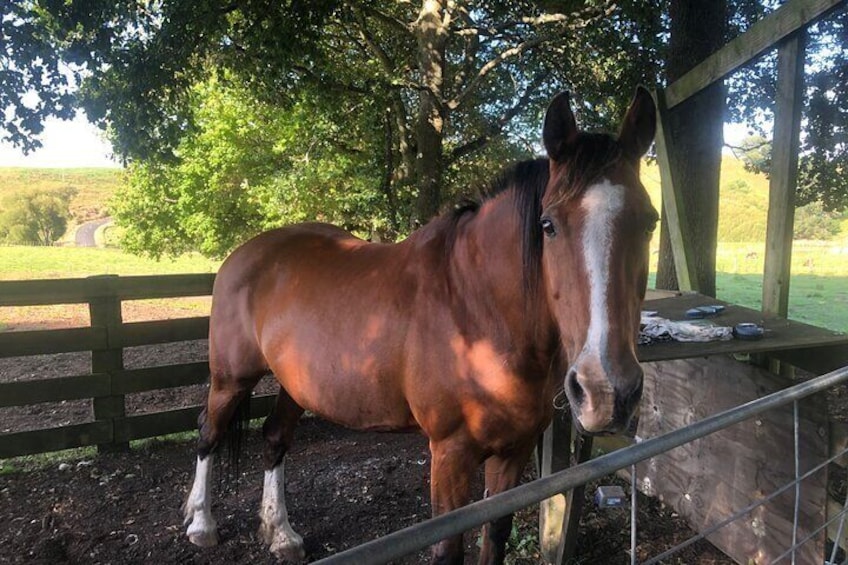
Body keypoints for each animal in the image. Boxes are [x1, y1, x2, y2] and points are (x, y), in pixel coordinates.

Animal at [184, 86, 656, 560]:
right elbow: (448, 549)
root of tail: (244, 254)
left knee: (275, 438)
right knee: (208, 433)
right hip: (231, 378)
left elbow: (496, 535)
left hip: (294, 384)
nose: (606, 392)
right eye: (548, 225)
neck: (478, 308)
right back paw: (201, 522)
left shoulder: (514, 451)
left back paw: (281, 532)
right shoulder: (450, 454)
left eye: (650, 222)